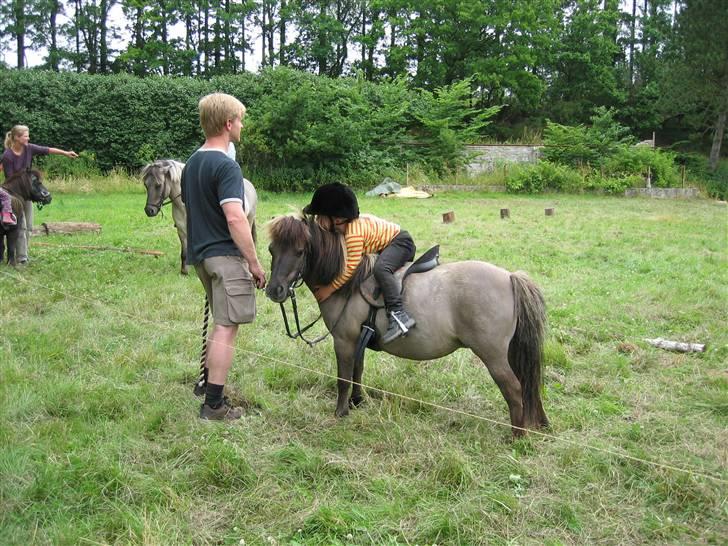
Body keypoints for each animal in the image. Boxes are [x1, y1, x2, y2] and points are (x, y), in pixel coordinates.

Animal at [266, 215, 544, 436]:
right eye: (271, 249)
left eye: (300, 251)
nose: (274, 290)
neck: (348, 285)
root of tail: (510, 277)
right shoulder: (358, 341)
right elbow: (358, 372)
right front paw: (357, 403)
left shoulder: (343, 341)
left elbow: (343, 378)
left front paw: (340, 412)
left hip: (492, 355)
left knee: (514, 389)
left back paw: (517, 437)